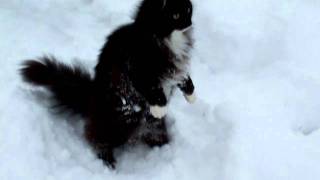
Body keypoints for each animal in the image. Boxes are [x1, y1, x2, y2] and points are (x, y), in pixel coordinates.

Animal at [21, 0, 195, 169]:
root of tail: (89, 98)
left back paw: (164, 148)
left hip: (154, 128)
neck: (168, 40)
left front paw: (191, 94)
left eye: (188, 10)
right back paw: (108, 161)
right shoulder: (137, 68)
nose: (189, 23)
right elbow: (152, 89)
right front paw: (160, 108)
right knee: (96, 139)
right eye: (175, 15)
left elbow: (185, 79)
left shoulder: (177, 68)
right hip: (116, 125)